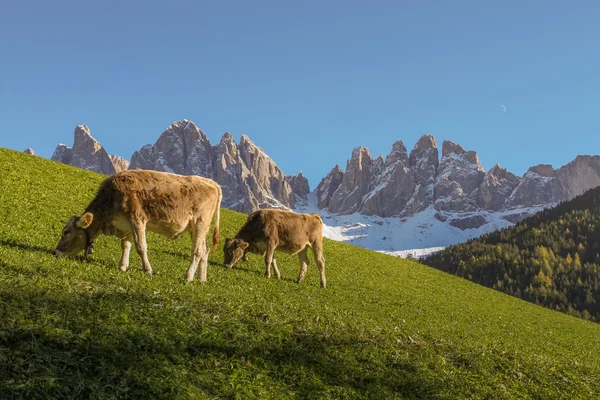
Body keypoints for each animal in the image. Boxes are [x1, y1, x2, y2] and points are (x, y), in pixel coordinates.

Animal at [53, 170, 223, 282]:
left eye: (66, 232)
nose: (55, 252)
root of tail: (212, 182)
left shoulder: (137, 218)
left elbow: (141, 247)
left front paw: (147, 270)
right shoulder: (126, 224)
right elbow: (126, 245)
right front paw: (122, 266)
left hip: (200, 222)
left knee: (197, 251)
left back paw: (188, 277)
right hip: (196, 228)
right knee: (205, 250)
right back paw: (201, 279)